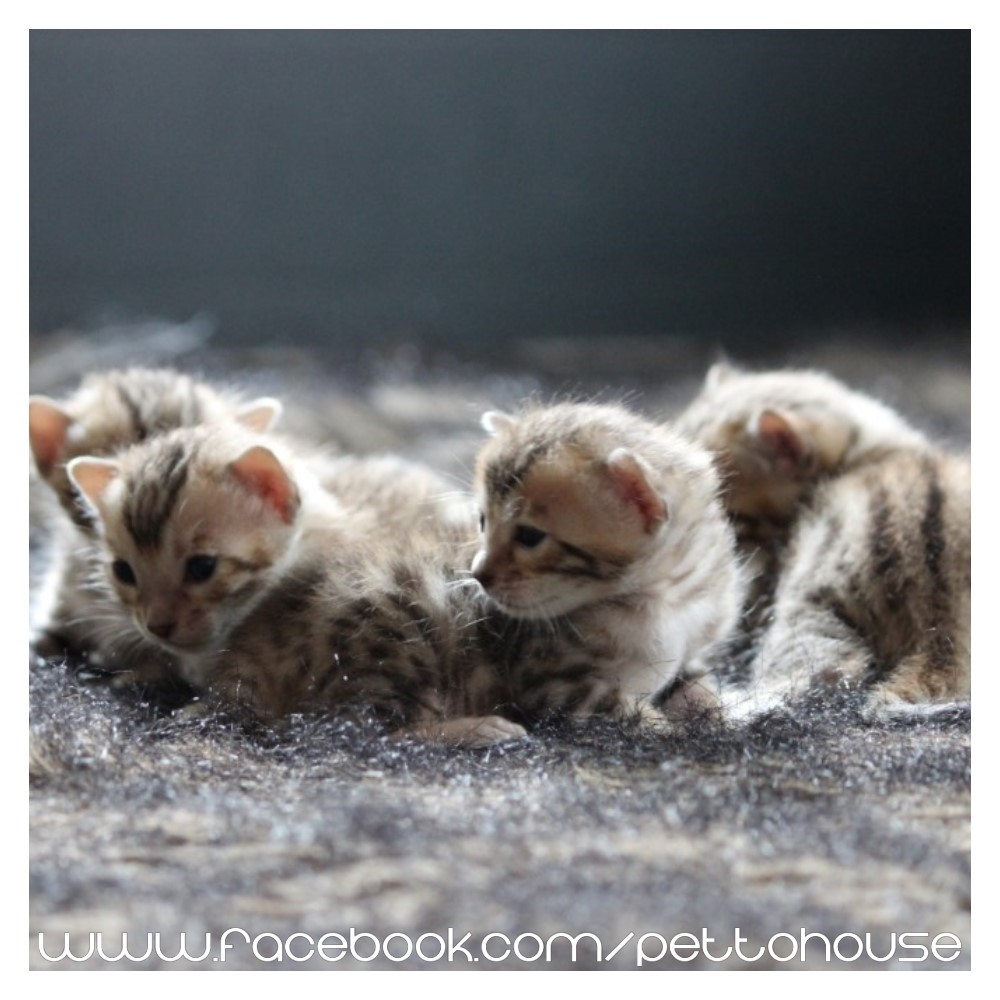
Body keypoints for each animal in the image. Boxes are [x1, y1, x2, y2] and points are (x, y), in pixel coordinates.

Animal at [470, 401, 747, 725]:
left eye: (529, 536)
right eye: (483, 521)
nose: (478, 574)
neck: (667, 601)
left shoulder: (692, 647)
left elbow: (697, 682)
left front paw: (716, 709)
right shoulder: (543, 685)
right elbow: (620, 708)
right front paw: (665, 727)